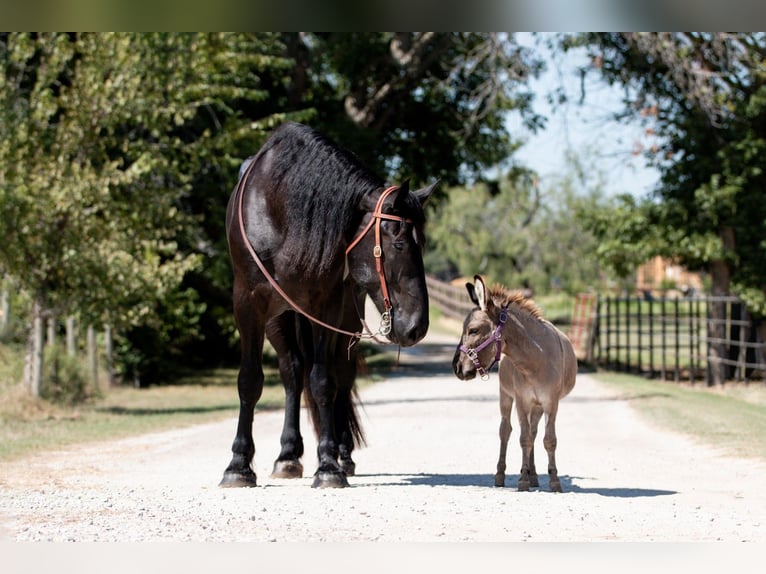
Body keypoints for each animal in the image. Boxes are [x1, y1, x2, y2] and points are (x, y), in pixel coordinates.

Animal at [222, 122, 438, 490]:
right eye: (397, 244)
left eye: (420, 243)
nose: (416, 326)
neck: (282, 211)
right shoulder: (248, 303)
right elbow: (250, 379)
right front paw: (238, 465)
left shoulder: (328, 306)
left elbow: (324, 381)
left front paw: (328, 466)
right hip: (281, 318)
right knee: (293, 371)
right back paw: (288, 455)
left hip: (346, 317)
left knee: (340, 375)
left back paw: (341, 454)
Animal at [456, 276, 576, 492]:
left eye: (473, 330)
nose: (457, 368)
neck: (536, 359)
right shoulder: (522, 401)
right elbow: (523, 439)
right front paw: (523, 481)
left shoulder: (550, 403)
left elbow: (548, 440)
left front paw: (554, 480)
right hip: (506, 396)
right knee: (506, 431)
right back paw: (503, 475)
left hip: (537, 406)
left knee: (534, 432)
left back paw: (533, 474)